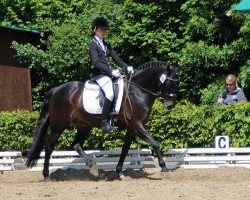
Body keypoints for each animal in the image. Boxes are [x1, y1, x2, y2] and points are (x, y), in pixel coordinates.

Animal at [25, 61, 180, 180]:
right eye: (170, 83)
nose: (170, 105)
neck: (137, 91)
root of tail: (57, 89)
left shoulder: (132, 128)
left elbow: (125, 150)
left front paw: (119, 172)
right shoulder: (137, 125)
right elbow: (155, 144)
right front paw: (164, 168)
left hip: (83, 126)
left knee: (76, 145)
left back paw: (92, 166)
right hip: (59, 125)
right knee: (49, 146)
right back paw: (46, 175)